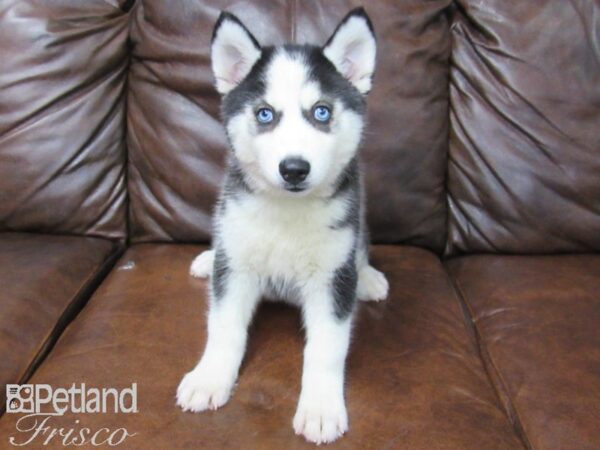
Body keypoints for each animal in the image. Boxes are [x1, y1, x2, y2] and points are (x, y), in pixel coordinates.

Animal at [177, 7, 390, 446]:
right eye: (265, 114)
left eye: (321, 111)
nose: (294, 168)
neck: (287, 213)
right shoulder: (236, 269)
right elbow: (224, 328)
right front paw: (210, 378)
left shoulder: (331, 277)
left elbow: (326, 347)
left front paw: (321, 408)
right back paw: (208, 258)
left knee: (360, 249)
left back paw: (368, 277)